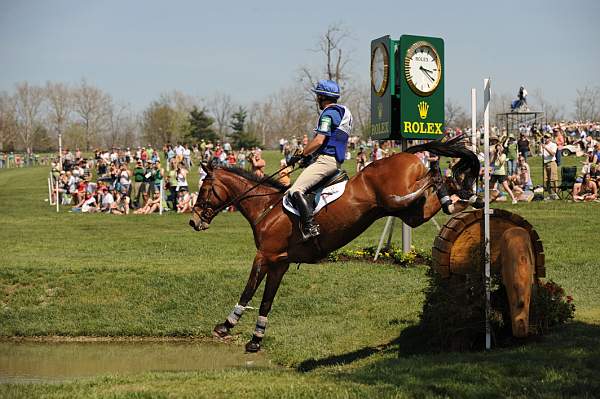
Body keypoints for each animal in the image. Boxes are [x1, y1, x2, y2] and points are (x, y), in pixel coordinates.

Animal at [190, 137, 480, 354]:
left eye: (204, 189)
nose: (193, 222)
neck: (266, 208)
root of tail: (406, 153)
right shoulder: (279, 263)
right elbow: (266, 301)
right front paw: (256, 340)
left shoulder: (264, 256)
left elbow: (248, 291)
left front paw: (226, 326)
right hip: (411, 214)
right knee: (439, 192)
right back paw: (463, 197)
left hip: (396, 199)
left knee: (429, 180)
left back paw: (447, 181)